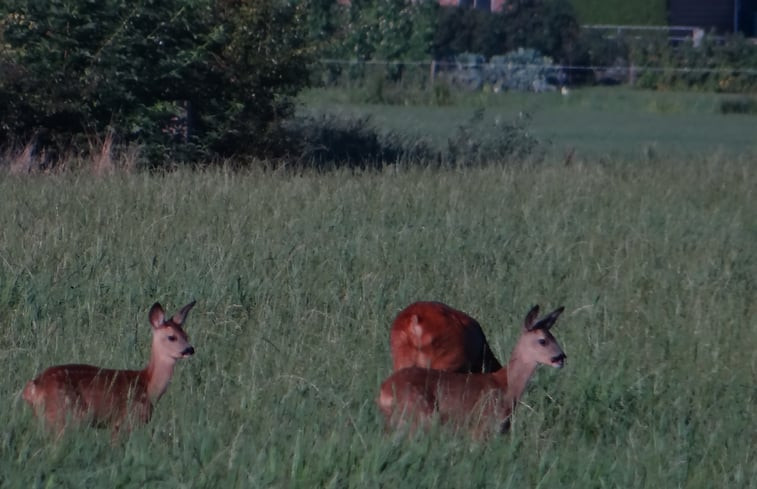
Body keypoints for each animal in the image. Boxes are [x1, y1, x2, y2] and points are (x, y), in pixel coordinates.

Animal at [22, 300, 195, 436]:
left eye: (186, 335)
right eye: (172, 337)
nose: (190, 349)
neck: (148, 385)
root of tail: (33, 387)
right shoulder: (123, 422)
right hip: (62, 416)